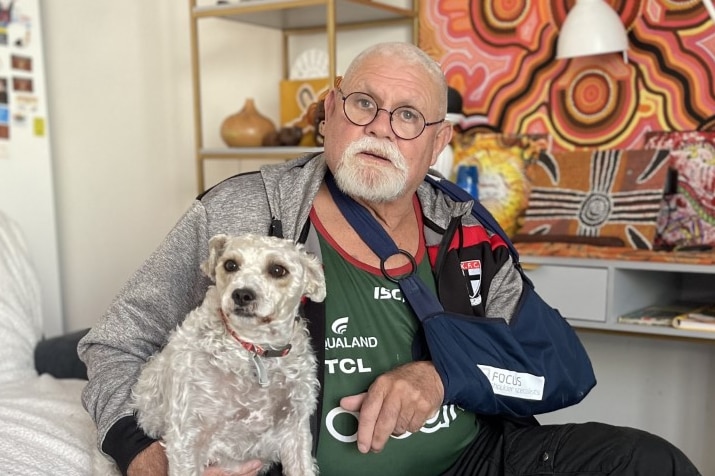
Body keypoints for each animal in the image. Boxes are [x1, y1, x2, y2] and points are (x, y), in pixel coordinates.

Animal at [130, 234, 326, 476]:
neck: (253, 349)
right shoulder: (187, 439)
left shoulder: (295, 429)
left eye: (278, 270)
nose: (242, 294)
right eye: (230, 265)